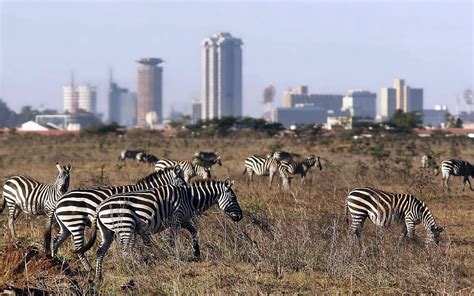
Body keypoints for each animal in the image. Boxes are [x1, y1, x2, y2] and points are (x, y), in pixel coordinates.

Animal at [51, 165, 184, 270]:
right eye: (183, 182)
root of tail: (59, 201)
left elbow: (132, 242)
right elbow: (132, 243)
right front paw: (134, 259)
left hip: (66, 226)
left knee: (55, 241)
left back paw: (55, 262)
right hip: (75, 222)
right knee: (78, 248)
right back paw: (89, 269)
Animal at [91, 179, 244, 278]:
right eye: (233, 198)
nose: (241, 217)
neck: (190, 198)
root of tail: (99, 207)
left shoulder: (184, 219)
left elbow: (194, 232)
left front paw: (196, 253)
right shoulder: (177, 218)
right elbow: (173, 239)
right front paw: (174, 256)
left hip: (107, 231)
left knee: (100, 251)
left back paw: (99, 276)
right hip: (125, 225)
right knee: (125, 250)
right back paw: (131, 268)